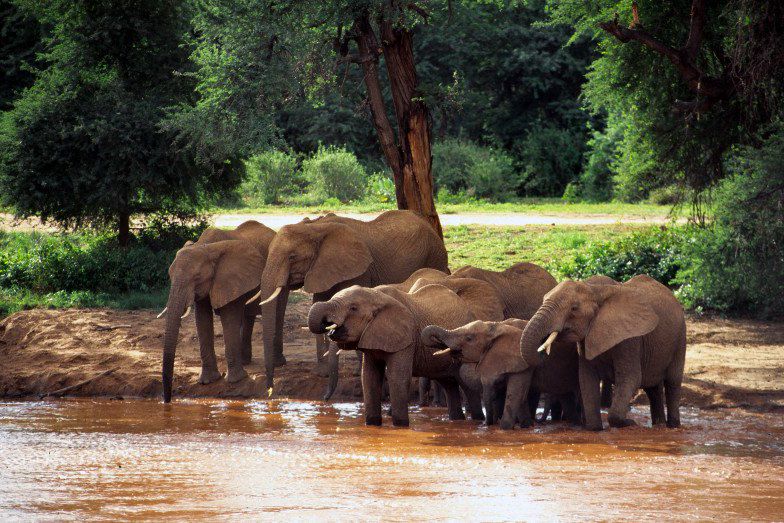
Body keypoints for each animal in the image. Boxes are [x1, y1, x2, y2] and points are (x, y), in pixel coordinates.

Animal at [158, 219, 276, 404]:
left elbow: (229, 317)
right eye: (169, 276)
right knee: (247, 315)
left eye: (197, 277)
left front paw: (236, 381)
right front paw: (207, 381)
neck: (205, 247)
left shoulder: (229, 278)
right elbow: (202, 319)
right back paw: (245, 361)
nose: (167, 401)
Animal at [248, 211, 450, 396]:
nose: (270, 390)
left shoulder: (358, 268)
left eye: (292, 257)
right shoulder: (323, 269)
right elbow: (320, 303)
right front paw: (322, 374)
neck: (316, 227)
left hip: (434, 256)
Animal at [306, 282, 484, 426]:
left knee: (467, 384)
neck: (376, 295)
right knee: (449, 384)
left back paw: (478, 421)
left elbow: (398, 378)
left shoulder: (406, 338)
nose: (325, 400)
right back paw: (457, 421)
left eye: (353, 308)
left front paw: (400, 426)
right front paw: (372, 425)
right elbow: (369, 378)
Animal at [420, 320, 580, 430]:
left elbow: (515, 394)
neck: (496, 326)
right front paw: (526, 426)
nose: (486, 424)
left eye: (469, 338)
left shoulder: (522, 362)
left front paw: (504, 428)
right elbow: (519, 396)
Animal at [520, 274, 688, 430]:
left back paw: (673, 426)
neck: (595, 290)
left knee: (672, 381)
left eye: (574, 308)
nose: (544, 346)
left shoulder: (630, 340)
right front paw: (595, 429)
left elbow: (630, 378)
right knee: (653, 388)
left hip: (680, 336)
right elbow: (586, 380)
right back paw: (659, 425)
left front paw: (629, 423)